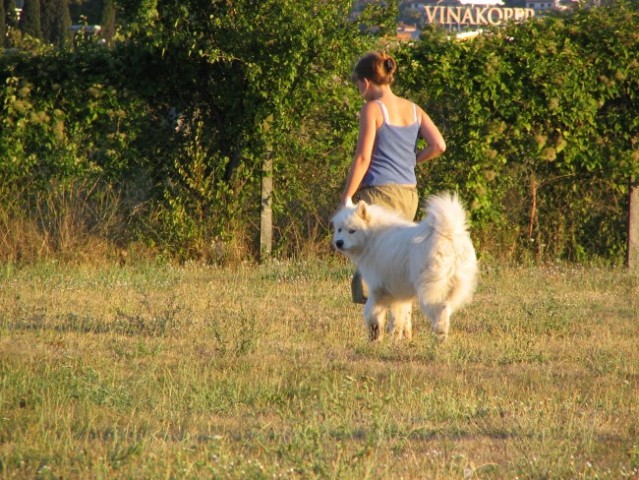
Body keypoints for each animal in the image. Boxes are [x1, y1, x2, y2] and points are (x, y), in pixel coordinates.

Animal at [332, 192, 478, 342]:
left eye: (352, 231)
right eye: (339, 229)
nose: (338, 243)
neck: (373, 236)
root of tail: (448, 233)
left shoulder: (379, 289)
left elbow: (373, 314)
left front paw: (375, 338)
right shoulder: (399, 290)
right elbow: (401, 316)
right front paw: (399, 338)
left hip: (430, 290)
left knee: (441, 311)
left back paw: (438, 338)